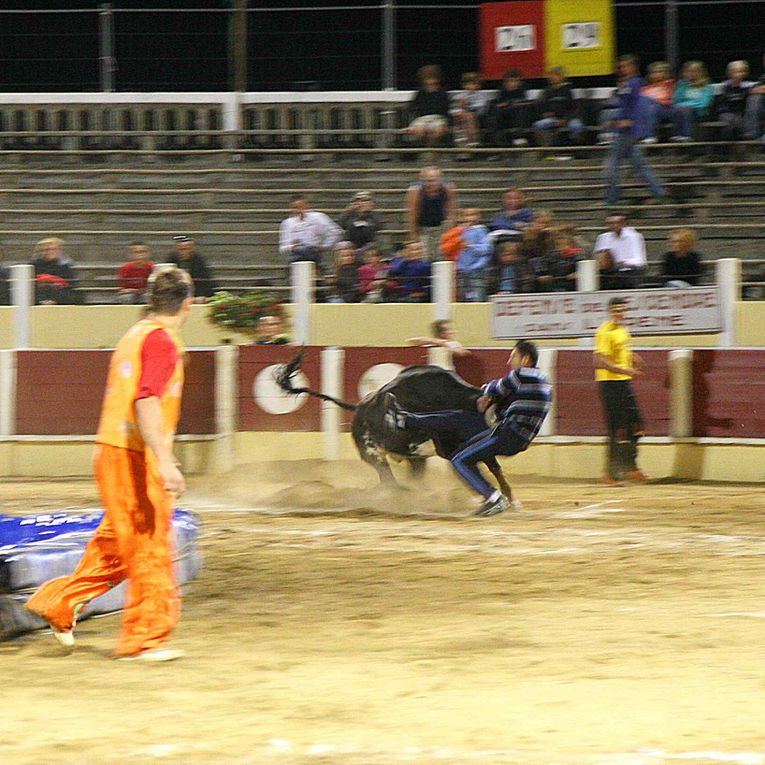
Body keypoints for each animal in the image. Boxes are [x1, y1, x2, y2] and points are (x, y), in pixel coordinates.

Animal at [272, 350, 510, 496]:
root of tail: (359, 408)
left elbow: (493, 466)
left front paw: (509, 497)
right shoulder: (452, 448)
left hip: (415, 458)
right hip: (373, 454)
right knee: (389, 481)